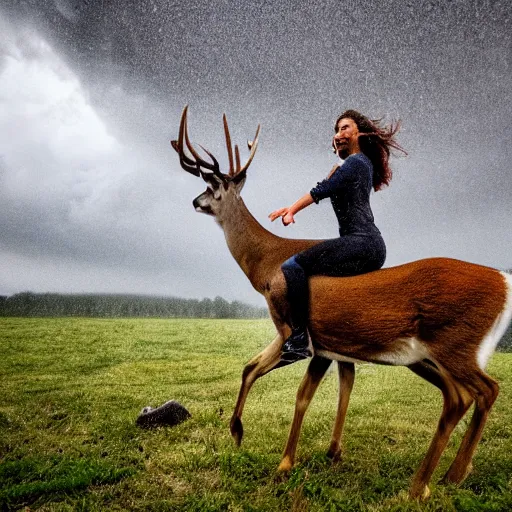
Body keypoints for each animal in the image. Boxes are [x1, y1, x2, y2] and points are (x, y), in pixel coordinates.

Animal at [171, 106, 512, 498]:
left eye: (211, 186)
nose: (195, 201)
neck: (267, 266)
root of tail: (504, 282)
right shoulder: (320, 342)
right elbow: (263, 370)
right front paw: (245, 434)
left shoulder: (298, 332)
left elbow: (298, 394)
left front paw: (283, 464)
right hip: (430, 356)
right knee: (464, 396)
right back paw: (448, 475)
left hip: (454, 344)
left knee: (483, 390)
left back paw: (430, 482)